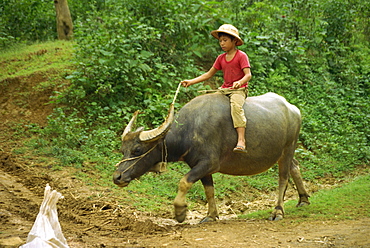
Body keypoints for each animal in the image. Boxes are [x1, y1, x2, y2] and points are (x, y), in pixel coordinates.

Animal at [112, 92, 310, 222]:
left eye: (137, 149)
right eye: (123, 150)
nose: (117, 177)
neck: (190, 129)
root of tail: (293, 109)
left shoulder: (209, 163)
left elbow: (184, 181)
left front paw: (180, 212)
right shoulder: (200, 165)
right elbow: (209, 190)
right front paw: (211, 215)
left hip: (288, 148)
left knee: (283, 177)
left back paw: (278, 211)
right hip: (284, 152)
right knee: (295, 166)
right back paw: (303, 199)